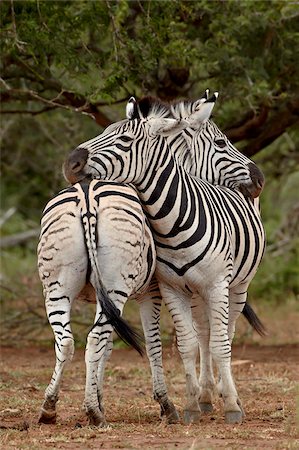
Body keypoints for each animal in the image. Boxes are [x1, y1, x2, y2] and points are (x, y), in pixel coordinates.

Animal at [64, 93, 266, 424]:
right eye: (221, 143)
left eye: (124, 139)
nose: (71, 163)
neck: (174, 222)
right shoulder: (173, 288)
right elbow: (187, 343)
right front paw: (192, 404)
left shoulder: (217, 286)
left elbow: (221, 344)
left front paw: (232, 406)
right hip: (199, 292)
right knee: (205, 333)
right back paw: (208, 396)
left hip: (238, 286)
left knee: (227, 333)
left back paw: (228, 394)